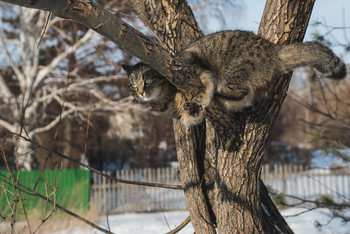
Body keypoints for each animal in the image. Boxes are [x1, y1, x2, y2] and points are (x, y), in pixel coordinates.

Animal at [121, 30, 346, 125]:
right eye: (132, 85)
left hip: (233, 71)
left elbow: (205, 87)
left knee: (239, 90)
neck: (166, 98)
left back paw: (220, 95)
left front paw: (200, 101)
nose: (139, 92)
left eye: (148, 80)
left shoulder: (196, 71)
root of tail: (273, 50)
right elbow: (189, 118)